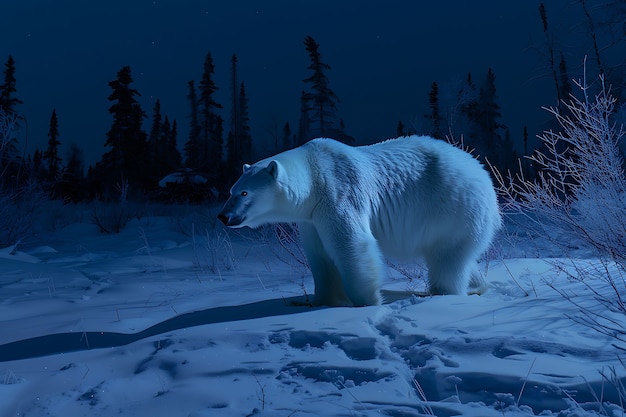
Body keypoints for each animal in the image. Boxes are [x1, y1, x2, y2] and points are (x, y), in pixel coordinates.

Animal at [217, 136, 500, 306]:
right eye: (231, 190)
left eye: (245, 193)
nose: (223, 216)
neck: (313, 175)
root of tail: (484, 176)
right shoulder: (311, 218)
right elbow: (319, 255)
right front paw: (323, 299)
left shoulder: (337, 193)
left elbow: (351, 243)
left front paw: (367, 300)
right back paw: (477, 285)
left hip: (453, 209)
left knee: (448, 259)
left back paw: (442, 292)